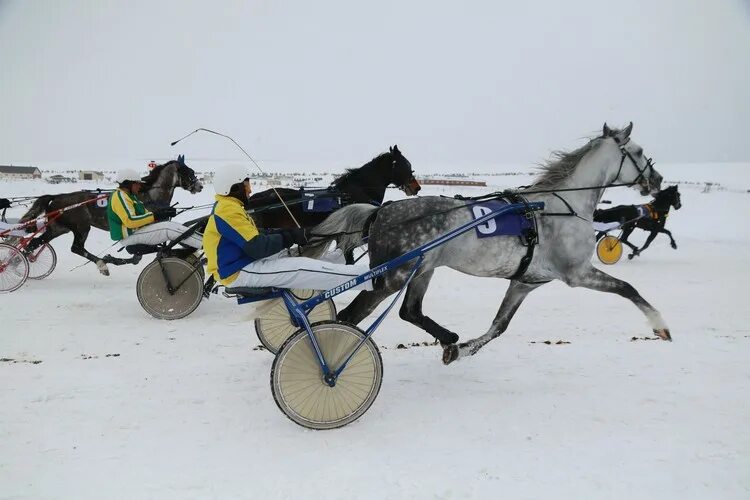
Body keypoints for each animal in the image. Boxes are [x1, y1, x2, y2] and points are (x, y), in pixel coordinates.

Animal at [314, 123, 672, 366]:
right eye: (639, 152)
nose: (656, 180)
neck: (560, 206)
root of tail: (383, 211)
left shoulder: (526, 282)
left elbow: (499, 325)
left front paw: (460, 351)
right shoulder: (577, 273)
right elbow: (628, 289)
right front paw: (660, 325)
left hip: (422, 271)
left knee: (409, 311)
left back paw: (449, 338)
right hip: (393, 276)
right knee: (353, 313)